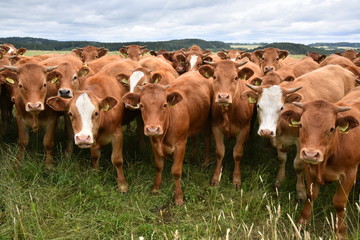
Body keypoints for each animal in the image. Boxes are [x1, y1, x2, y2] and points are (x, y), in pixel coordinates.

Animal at [123, 71, 214, 204]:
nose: (152, 129)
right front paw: (156, 188)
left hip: (208, 121)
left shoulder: (180, 145)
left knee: (207, 139)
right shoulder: (154, 143)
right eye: (142, 105)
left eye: (164, 105)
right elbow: (158, 166)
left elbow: (176, 171)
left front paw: (179, 197)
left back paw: (206, 162)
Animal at [197, 59, 253, 188]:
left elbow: (237, 153)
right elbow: (219, 152)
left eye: (236, 77)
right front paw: (216, 177)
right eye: (214, 76)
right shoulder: (216, 127)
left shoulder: (244, 129)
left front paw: (236, 179)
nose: (223, 97)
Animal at [280, 90, 360, 238]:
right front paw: (302, 221)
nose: (310, 154)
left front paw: (340, 232)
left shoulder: (350, 172)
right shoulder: (308, 168)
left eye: (331, 129)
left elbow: (339, 203)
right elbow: (310, 195)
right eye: (301, 125)